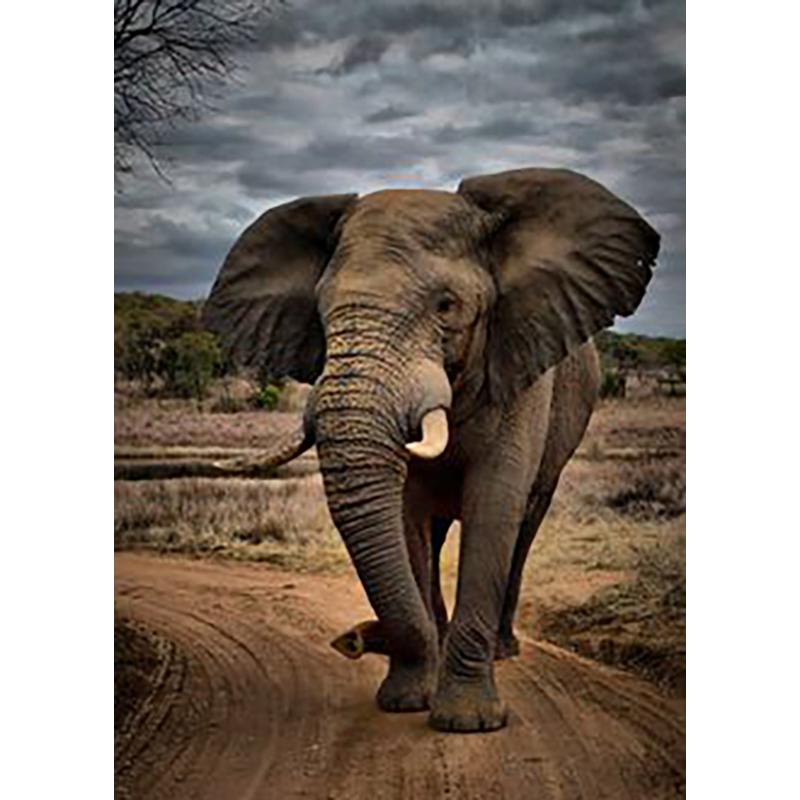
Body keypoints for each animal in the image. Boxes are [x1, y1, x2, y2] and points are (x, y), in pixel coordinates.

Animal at [202, 167, 659, 733]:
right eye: (322, 313)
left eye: (446, 306)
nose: (350, 640)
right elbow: (407, 516)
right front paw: (407, 699)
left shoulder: (521, 360)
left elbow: (494, 506)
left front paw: (468, 721)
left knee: (526, 524)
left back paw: (502, 649)